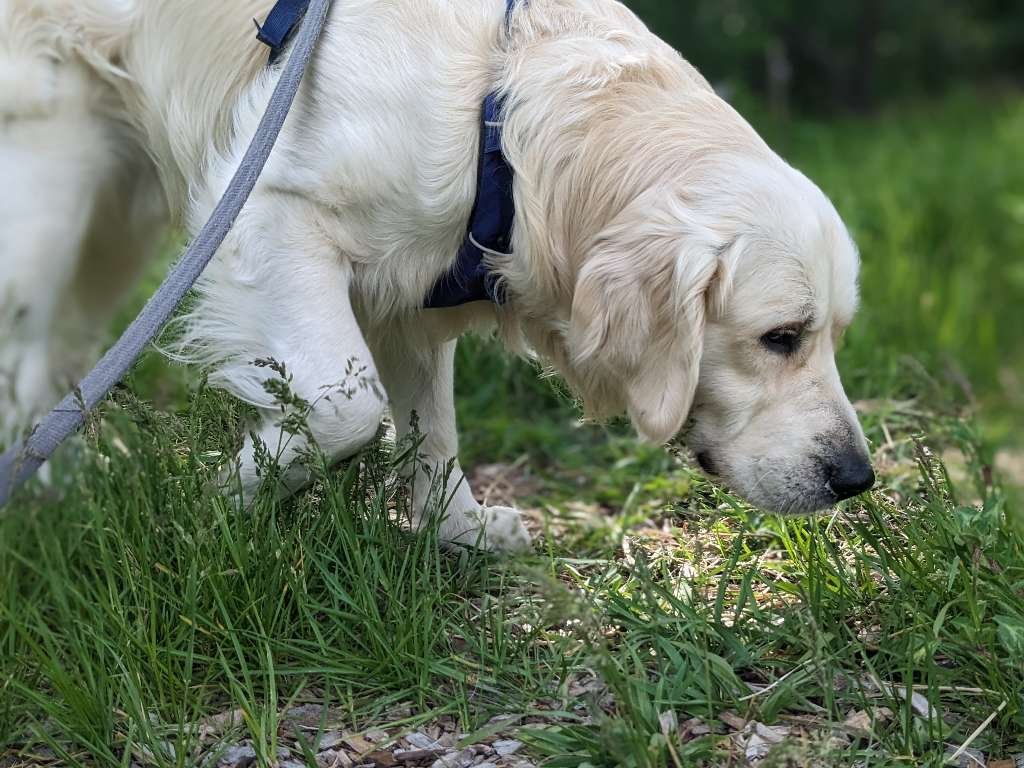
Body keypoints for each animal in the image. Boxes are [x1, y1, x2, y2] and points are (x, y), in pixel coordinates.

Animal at [4, 0, 876, 552]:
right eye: (781, 337)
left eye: (835, 336)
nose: (857, 478)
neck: (503, 121)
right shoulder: (268, 212)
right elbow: (349, 408)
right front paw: (216, 498)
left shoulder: (411, 290)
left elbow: (433, 426)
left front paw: (457, 527)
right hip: (50, 195)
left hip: (112, 224)